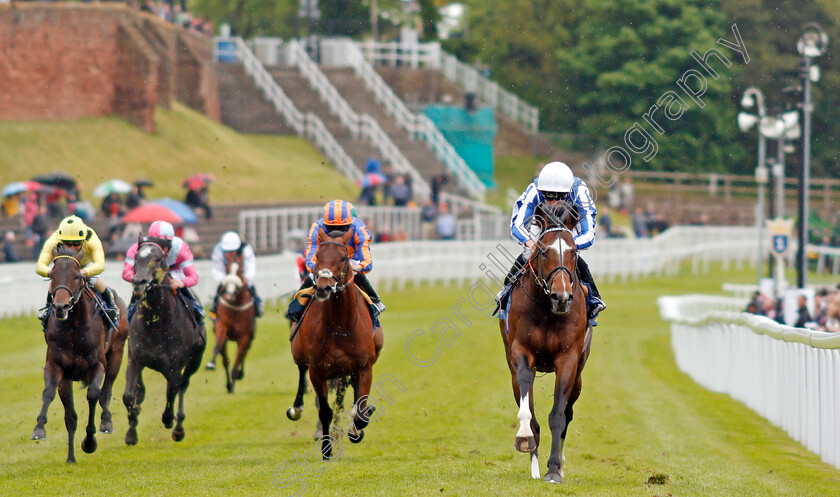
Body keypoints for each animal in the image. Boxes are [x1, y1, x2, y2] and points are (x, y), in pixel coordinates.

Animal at [31, 244, 129, 462]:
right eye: (52, 275)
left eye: (76, 276)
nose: (60, 307)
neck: (75, 327)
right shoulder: (57, 366)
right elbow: (49, 394)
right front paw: (39, 429)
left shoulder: (97, 365)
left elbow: (93, 394)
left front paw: (90, 441)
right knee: (71, 416)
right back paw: (71, 457)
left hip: (117, 354)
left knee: (106, 391)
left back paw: (106, 422)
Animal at [122, 238, 206, 444]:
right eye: (136, 258)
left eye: (158, 259)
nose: (140, 282)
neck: (156, 323)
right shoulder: (135, 359)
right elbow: (129, 395)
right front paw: (131, 431)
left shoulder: (174, 367)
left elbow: (171, 393)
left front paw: (168, 420)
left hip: (195, 360)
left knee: (183, 385)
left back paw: (178, 428)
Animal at [207, 248, 256, 392]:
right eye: (227, 268)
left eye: (240, 270)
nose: (229, 294)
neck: (235, 306)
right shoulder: (221, 325)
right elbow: (219, 348)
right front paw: (211, 364)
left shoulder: (244, 336)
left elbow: (238, 360)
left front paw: (234, 380)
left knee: (244, 354)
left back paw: (239, 374)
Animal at [288, 227, 382, 460]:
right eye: (318, 256)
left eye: (343, 258)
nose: (323, 287)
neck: (340, 325)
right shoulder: (318, 370)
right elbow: (324, 409)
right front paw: (326, 449)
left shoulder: (364, 368)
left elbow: (361, 411)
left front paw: (356, 429)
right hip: (300, 354)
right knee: (301, 373)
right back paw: (297, 409)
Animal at [502, 201, 592, 480]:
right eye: (543, 251)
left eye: (573, 251)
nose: (561, 297)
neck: (547, 310)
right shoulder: (521, 352)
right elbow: (529, 412)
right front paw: (524, 438)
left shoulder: (568, 359)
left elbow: (558, 416)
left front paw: (554, 470)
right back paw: (534, 467)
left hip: (579, 376)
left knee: (568, 413)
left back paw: (559, 464)